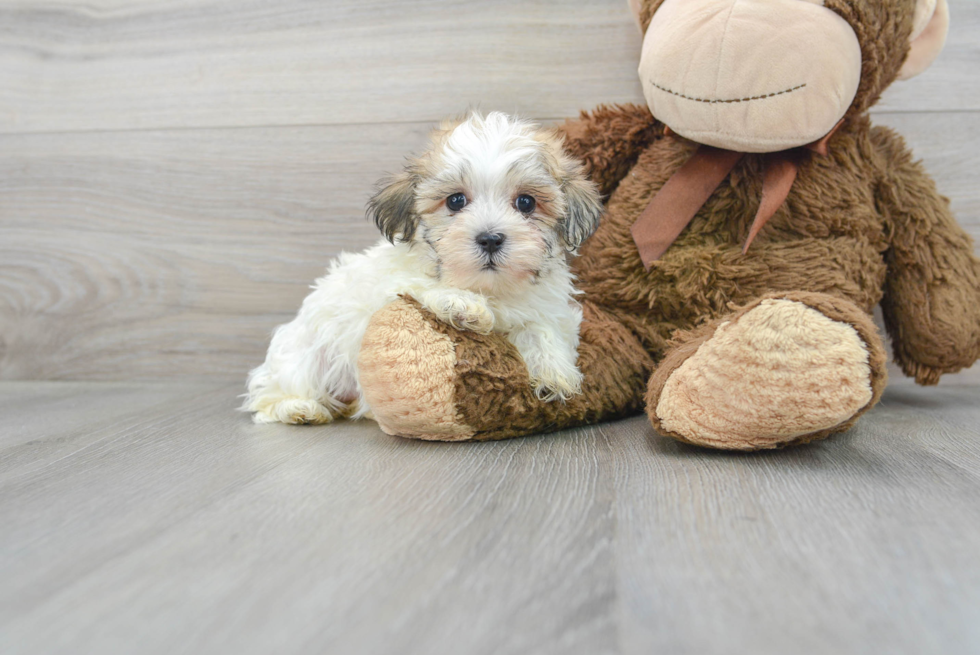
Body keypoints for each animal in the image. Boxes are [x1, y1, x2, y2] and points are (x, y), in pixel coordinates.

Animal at [241, 113, 600, 426]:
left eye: (526, 202)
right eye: (456, 201)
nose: (490, 238)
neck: (487, 287)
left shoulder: (548, 308)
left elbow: (542, 329)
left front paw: (554, 373)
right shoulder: (388, 285)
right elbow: (419, 284)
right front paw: (463, 304)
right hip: (303, 356)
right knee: (271, 394)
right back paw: (299, 408)